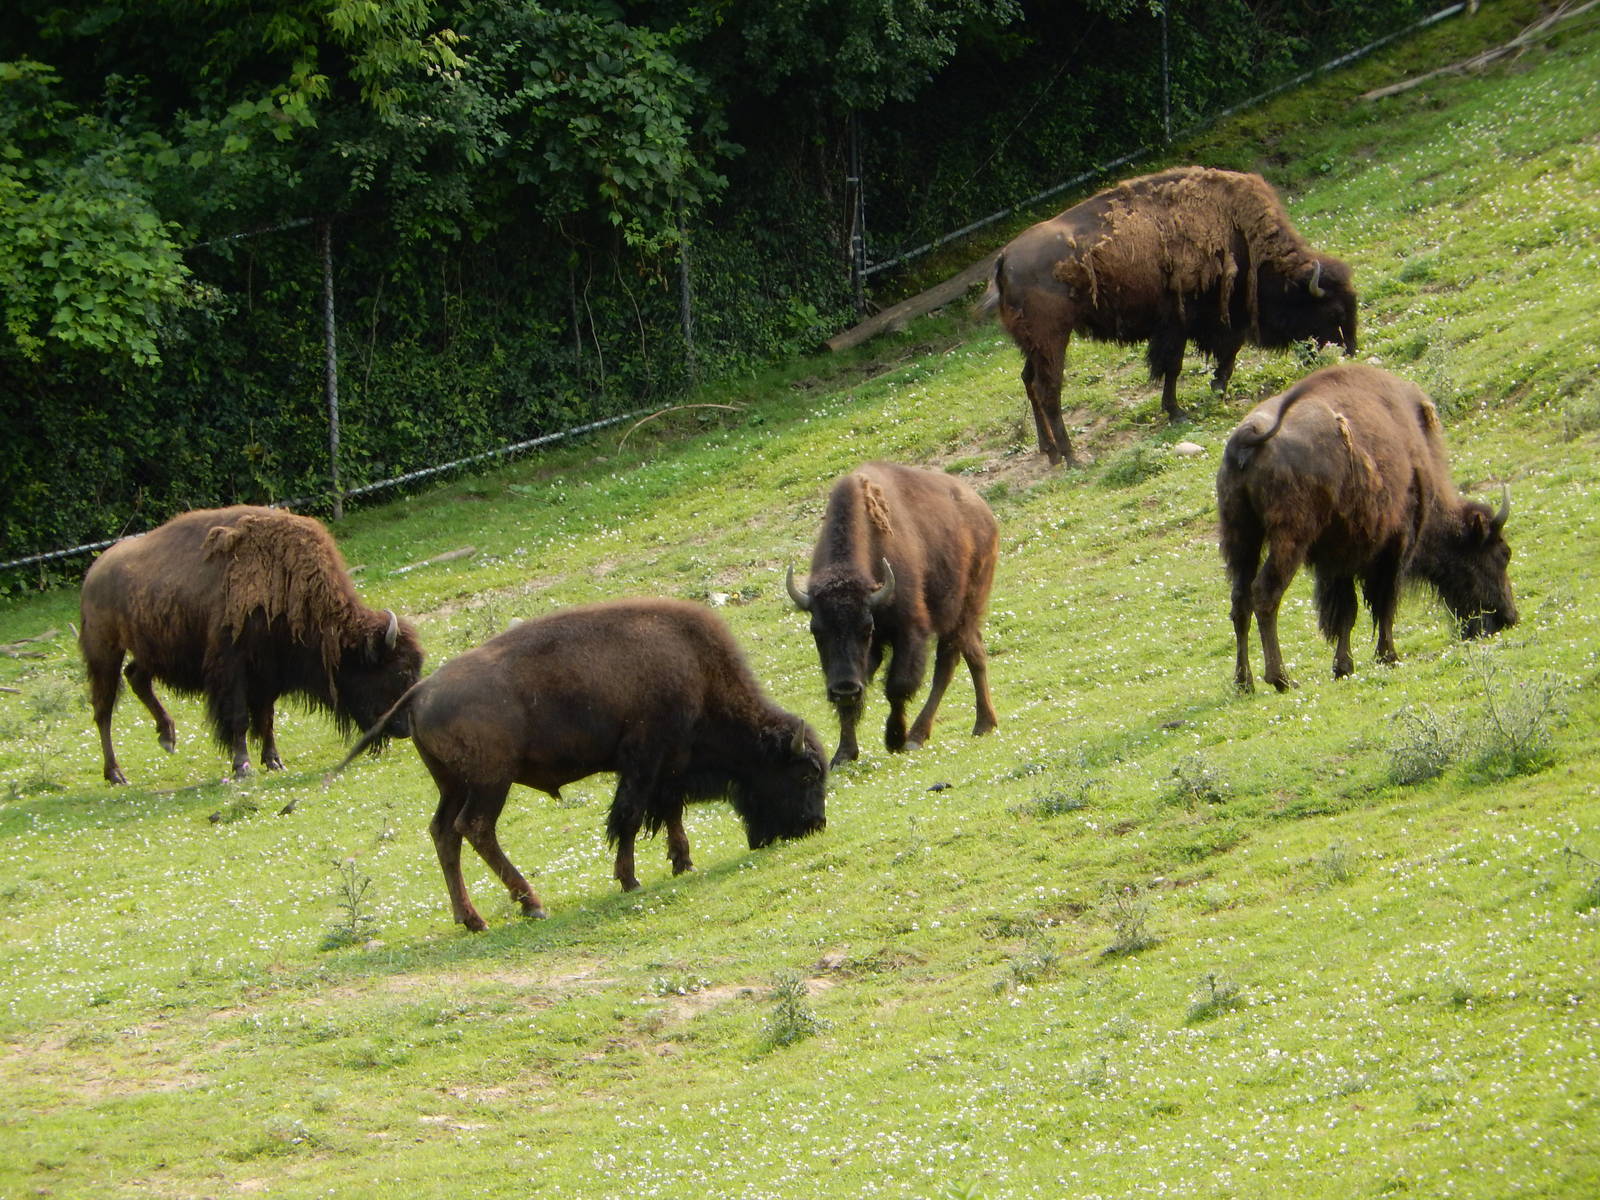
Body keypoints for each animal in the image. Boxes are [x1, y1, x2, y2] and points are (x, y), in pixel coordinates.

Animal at [79, 506, 423, 783]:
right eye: (398, 673)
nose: (405, 728)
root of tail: (94, 572)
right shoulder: (233, 667)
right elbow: (239, 717)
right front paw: (242, 766)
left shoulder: (268, 672)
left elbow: (266, 717)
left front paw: (274, 761)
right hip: (104, 652)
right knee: (104, 710)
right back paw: (116, 774)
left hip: (151, 650)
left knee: (136, 677)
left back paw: (167, 737)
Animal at [323, 598, 827, 931]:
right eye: (805, 774)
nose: (814, 825)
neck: (696, 670)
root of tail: (421, 691)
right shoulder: (644, 761)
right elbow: (629, 817)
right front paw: (630, 879)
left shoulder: (666, 766)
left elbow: (668, 812)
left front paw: (681, 862)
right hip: (491, 783)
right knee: (476, 829)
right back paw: (531, 903)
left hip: (453, 785)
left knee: (445, 833)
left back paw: (473, 919)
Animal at [787, 461, 998, 767]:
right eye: (817, 631)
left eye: (866, 628)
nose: (844, 689)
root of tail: (983, 511)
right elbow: (855, 695)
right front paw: (843, 754)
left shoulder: (909, 630)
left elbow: (898, 685)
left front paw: (895, 739)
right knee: (972, 655)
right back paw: (982, 723)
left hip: (962, 612)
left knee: (947, 665)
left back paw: (922, 735)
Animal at [982, 166, 1359, 464]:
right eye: (1335, 311)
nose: (1351, 352)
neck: (1237, 229)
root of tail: (1004, 260)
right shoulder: (1181, 322)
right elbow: (1176, 365)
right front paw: (1178, 412)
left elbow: (1225, 354)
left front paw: (1215, 390)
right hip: (1053, 339)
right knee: (1048, 390)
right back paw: (1071, 456)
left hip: (1033, 346)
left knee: (1029, 382)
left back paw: (1050, 451)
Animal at [1217, 363, 1516, 692]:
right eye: (1503, 554)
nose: (1508, 618)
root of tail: (1249, 436)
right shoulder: (1395, 545)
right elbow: (1383, 603)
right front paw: (1388, 656)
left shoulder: (1339, 559)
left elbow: (1346, 612)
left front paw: (1343, 667)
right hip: (1289, 539)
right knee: (1265, 594)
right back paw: (1282, 679)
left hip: (1241, 537)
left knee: (1240, 600)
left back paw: (1244, 682)